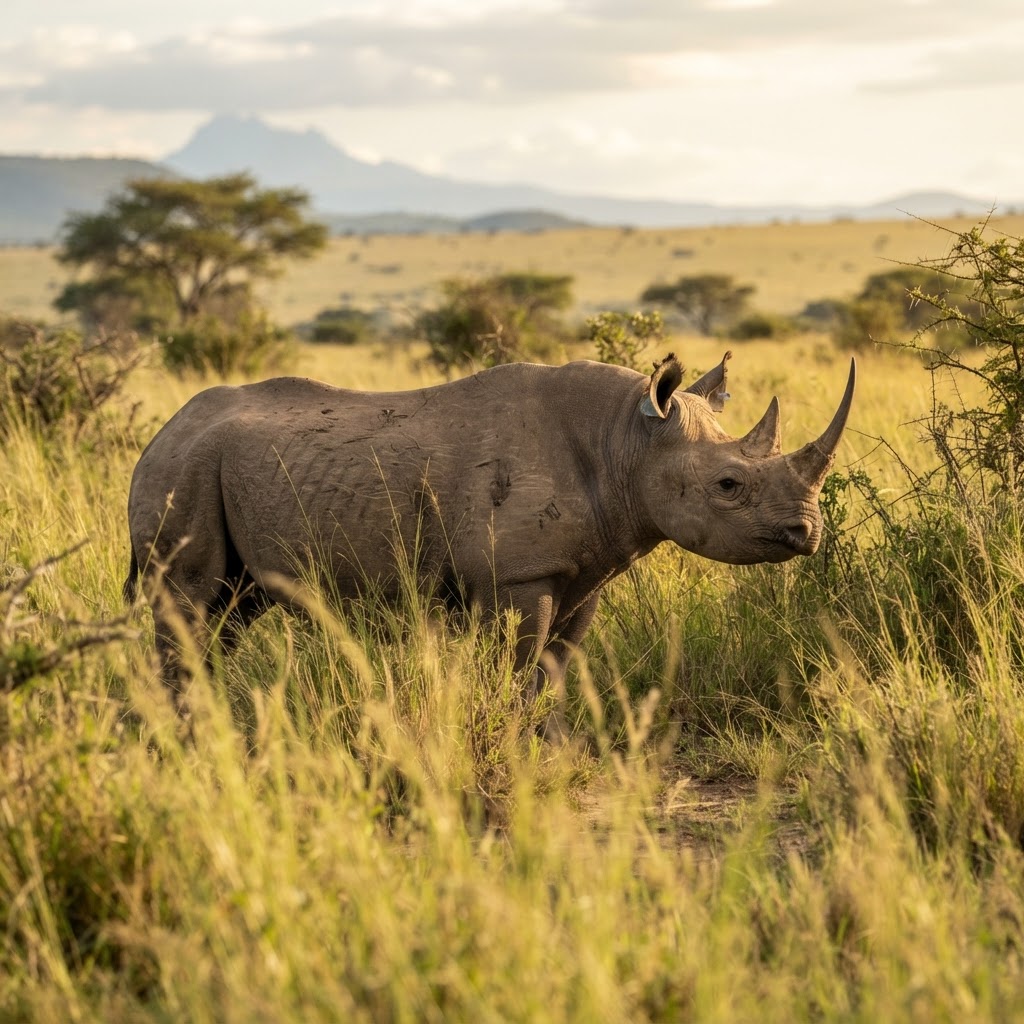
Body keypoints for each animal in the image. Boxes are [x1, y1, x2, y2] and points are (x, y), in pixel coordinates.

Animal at [124, 352, 854, 704]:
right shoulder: (518, 576)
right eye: (729, 486)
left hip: (210, 465)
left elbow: (557, 671)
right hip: (184, 468)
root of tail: (163, 430)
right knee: (189, 599)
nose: (807, 534)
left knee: (230, 608)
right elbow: (521, 666)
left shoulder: (584, 573)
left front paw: (546, 747)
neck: (628, 441)